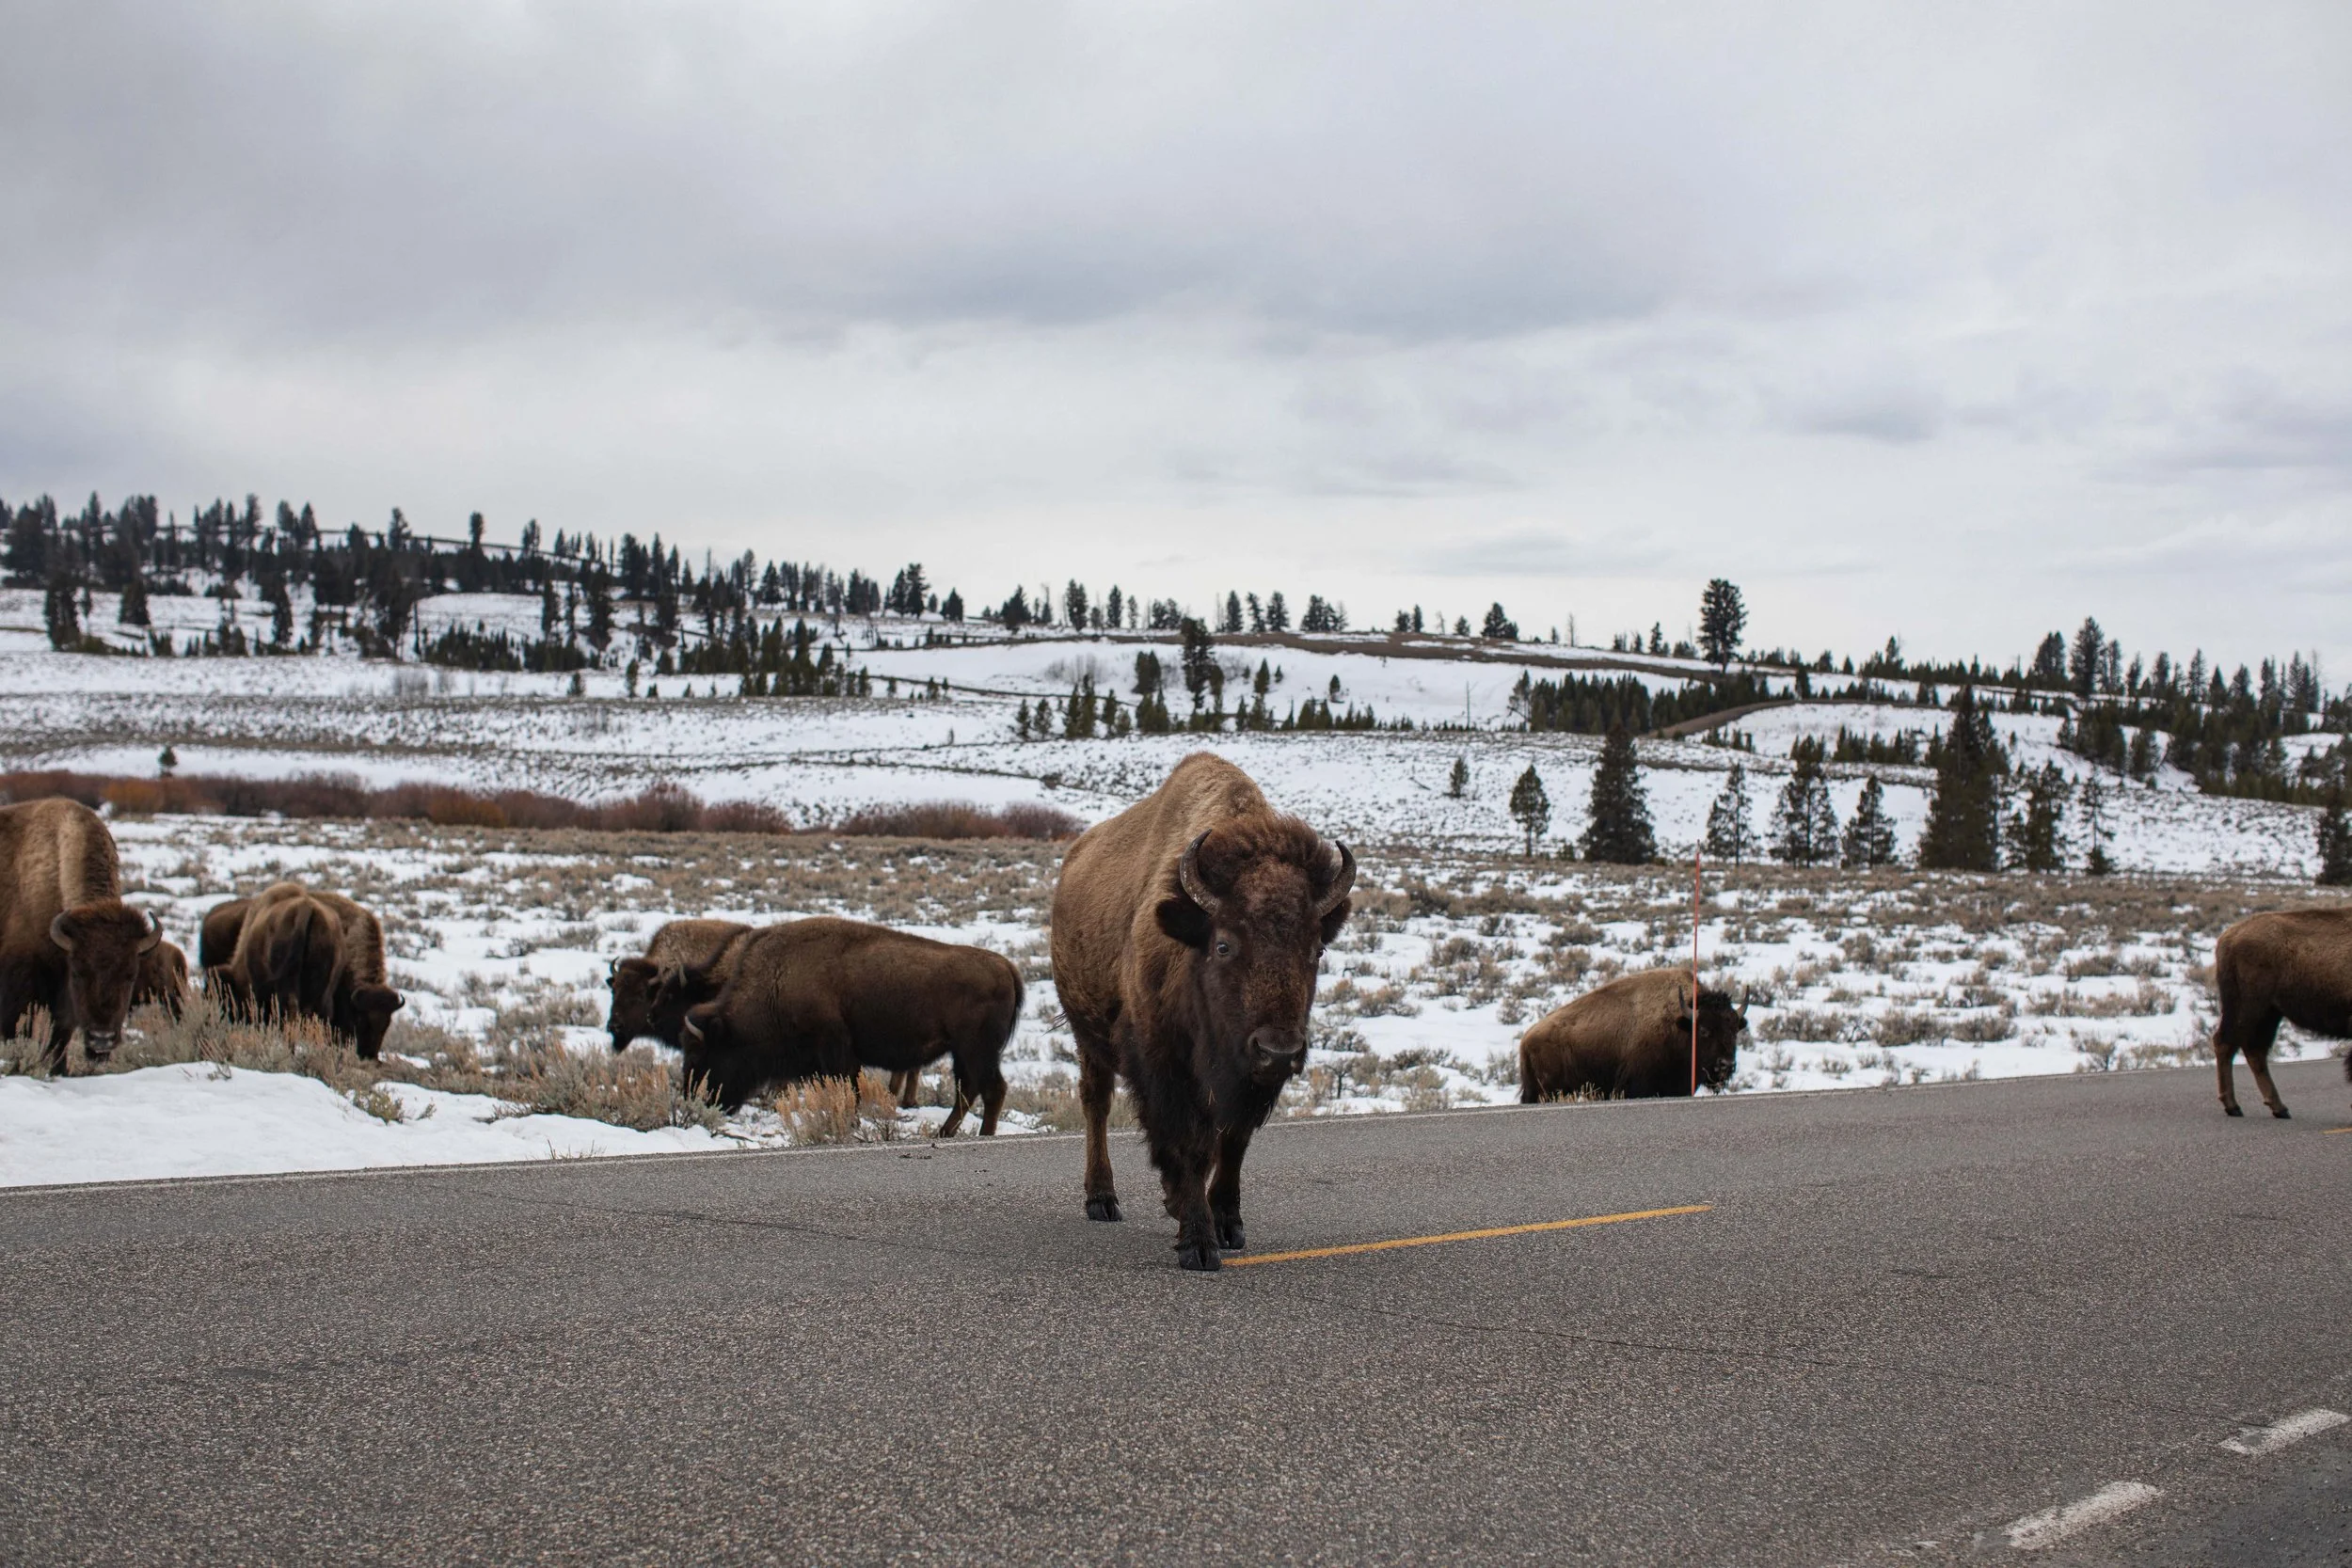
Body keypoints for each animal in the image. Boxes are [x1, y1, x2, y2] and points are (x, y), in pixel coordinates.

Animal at [676, 916, 1021, 1132]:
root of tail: (1005, 966)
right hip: (963, 1052)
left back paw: (980, 1135)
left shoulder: (838, 1053)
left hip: (976, 1050)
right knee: (969, 1089)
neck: (776, 981)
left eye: (699, 1054)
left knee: (992, 1089)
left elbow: (849, 1091)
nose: (695, 1099)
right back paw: (943, 1133)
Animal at [1050, 753, 1354, 1271]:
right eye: (1224, 945)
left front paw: (1228, 1224)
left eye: (1316, 950)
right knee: (1096, 1103)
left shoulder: (1244, 1081)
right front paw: (1198, 1242)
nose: (1278, 1050)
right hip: (1087, 1036)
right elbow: (1187, 1143)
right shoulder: (1165, 1064)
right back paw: (1102, 1199)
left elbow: (1232, 1142)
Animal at [2212, 907, 2352, 1119]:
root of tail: (2231, 935)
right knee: (2226, 1043)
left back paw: (2278, 1108)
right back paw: (2234, 1107)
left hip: (2269, 1014)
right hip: (2249, 1009)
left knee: (2254, 1050)